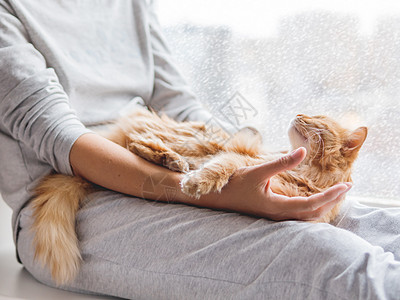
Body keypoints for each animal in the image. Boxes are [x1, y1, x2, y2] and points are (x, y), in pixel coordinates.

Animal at [31, 106, 368, 284]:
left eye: (317, 118)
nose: (297, 113)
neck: (306, 174)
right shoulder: (243, 160)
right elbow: (221, 167)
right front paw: (197, 183)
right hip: (192, 140)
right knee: (136, 140)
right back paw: (172, 161)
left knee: (135, 142)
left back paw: (171, 162)